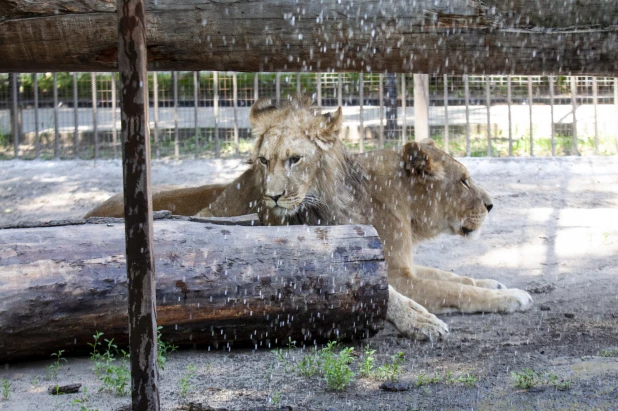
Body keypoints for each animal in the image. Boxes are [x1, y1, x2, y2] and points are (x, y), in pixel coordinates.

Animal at [84, 97, 532, 342]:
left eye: (295, 159)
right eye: (465, 180)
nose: (491, 205)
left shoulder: (403, 264)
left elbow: (455, 276)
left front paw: (493, 283)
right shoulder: (394, 272)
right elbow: (448, 290)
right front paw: (506, 297)